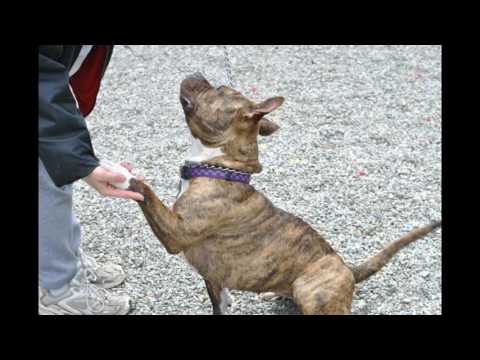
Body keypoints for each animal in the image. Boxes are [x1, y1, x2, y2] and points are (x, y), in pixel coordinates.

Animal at [128, 73, 442, 316]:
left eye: (218, 90)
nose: (197, 74)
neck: (219, 165)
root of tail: (348, 270)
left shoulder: (175, 232)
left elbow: (145, 190)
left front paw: (125, 176)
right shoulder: (214, 278)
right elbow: (220, 301)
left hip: (309, 288)